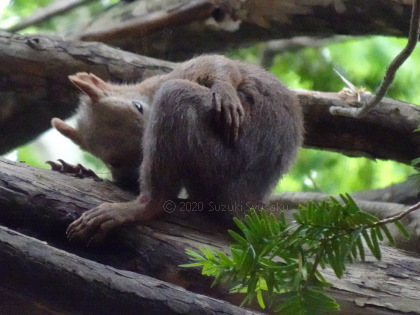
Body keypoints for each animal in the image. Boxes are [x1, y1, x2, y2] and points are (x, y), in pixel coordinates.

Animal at [52, 55, 304, 247]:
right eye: (113, 161)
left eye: (138, 107)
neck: (148, 90)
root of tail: (244, 192)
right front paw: (79, 170)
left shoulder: (182, 72)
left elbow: (219, 65)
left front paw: (225, 91)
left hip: (217, 147)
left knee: (160, 200)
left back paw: (139, 207)